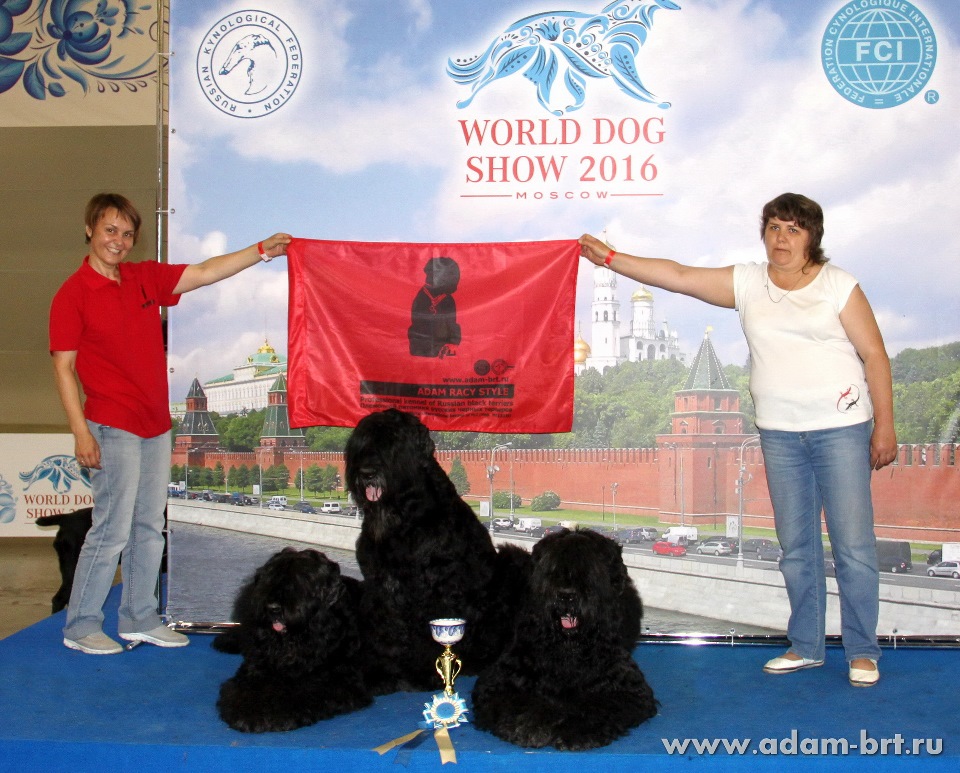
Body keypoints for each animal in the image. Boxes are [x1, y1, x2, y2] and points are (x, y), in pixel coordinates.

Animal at [215, 547, 372, 733]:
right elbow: (245, 688)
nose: (273, 608)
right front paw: (248, 709)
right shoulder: (255, 668)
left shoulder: (340, 680)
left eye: (302, 581)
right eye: (269, 577)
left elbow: (301, 692)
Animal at [345, 408, 530, 694]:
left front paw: (423, 674)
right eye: (361, 441)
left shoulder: (436, 588)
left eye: (394, 443)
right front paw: (378, 672)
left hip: (513, 565)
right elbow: (382, 633)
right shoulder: (380, 588)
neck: (405, 519)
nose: (367, 472)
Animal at [471, 528, 658, 750]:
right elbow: (515, 703)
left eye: (591, 569)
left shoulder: (629, 689)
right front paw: (530, 725)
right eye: (551, 568)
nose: (566, 595)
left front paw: (577, 730)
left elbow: (597, 706)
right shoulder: (498, 682)